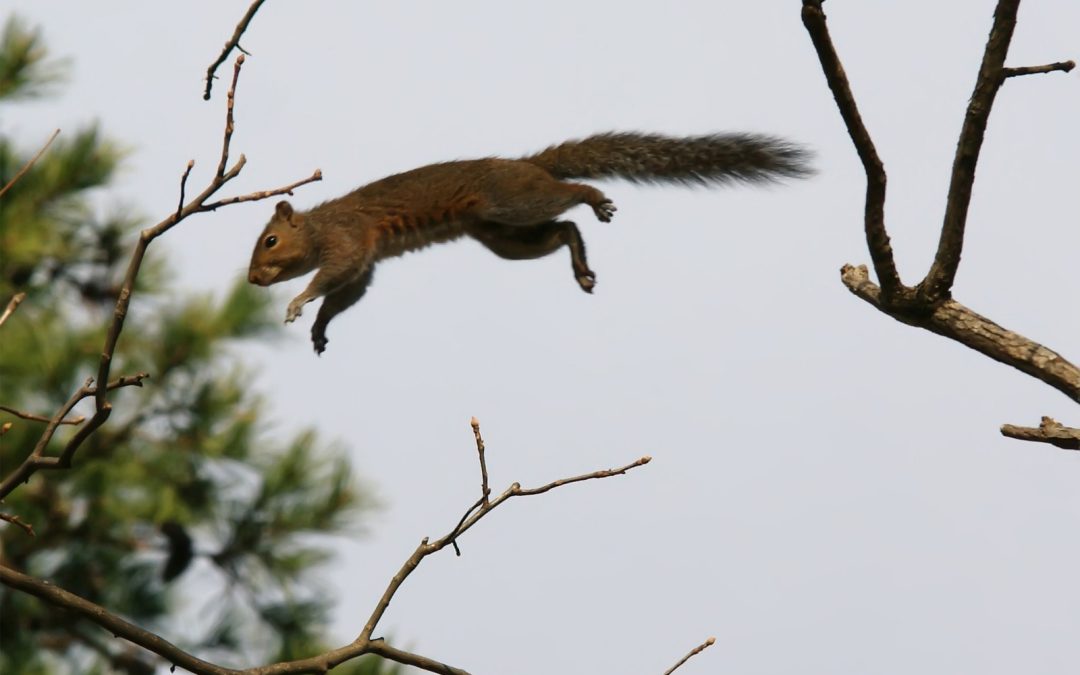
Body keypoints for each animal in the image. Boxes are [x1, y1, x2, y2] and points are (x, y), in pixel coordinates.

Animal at [248, 131, 812, 354]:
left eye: (270, 240)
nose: (252, 280)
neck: (318, 226)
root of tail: (530, 165)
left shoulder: (346, 241)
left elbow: (330, 277)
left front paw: (298, 303)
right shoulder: (363, 263)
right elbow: (345, 295)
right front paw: (319, 326)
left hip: (512, 204)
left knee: (568, 197)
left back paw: (593, 197)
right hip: (504, 236)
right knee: (563, 230)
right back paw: (580, 265)